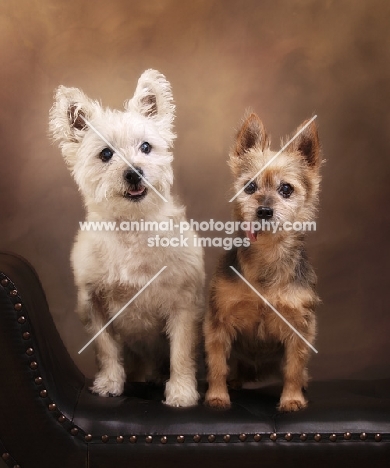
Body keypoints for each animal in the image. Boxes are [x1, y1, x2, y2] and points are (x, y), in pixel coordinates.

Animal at [49, 68, 204, 406]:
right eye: (105, 154)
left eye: (146, 147)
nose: (134, 172)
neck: (132, 226)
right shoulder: (93, 302)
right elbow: (106, 348)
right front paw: (109, 383)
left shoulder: (183, 303)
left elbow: (181, 352)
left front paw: (181, 392)